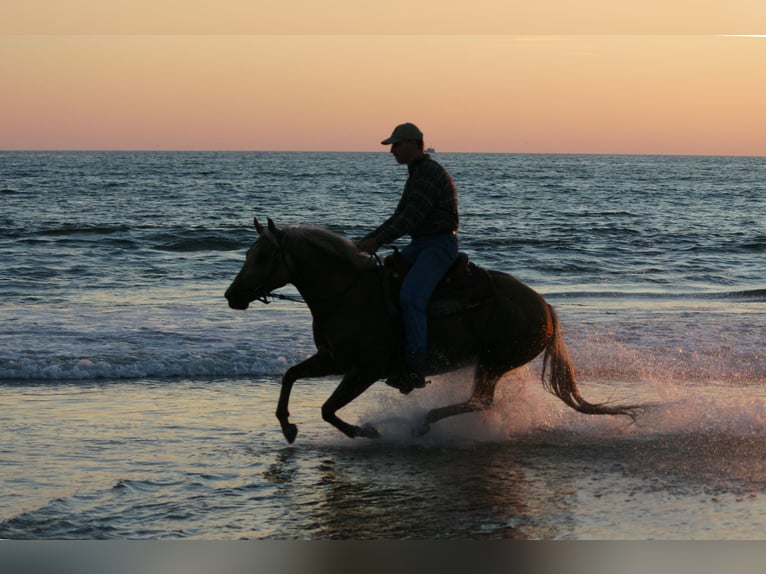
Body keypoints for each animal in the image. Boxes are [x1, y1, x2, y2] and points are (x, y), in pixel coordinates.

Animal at [225, 217, 640, 446]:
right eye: (248, 254)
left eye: (263, 256)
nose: (232, 296)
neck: (346, 293)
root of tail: (546, 310)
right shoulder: (334, 359)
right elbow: (290, 376)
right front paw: (287, 426)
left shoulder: (364, 370)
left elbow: (328, 409)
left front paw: (366, 432)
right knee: (479, 402)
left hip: (494, 361)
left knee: (480, 402)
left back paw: (422, 425)